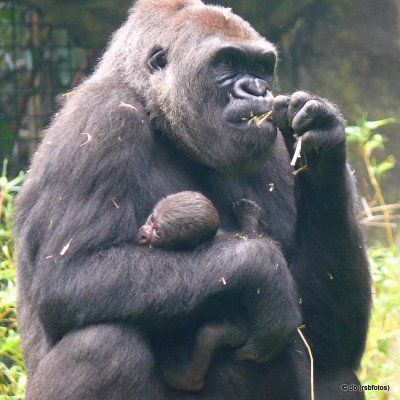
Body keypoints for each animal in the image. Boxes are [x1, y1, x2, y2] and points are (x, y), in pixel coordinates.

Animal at [139, 191, 264, 390]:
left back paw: (188, 380)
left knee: (209, 336)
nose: (144, 234)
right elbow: (247, 236)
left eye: (158, 233)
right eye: (151, 219)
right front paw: (249, 216)